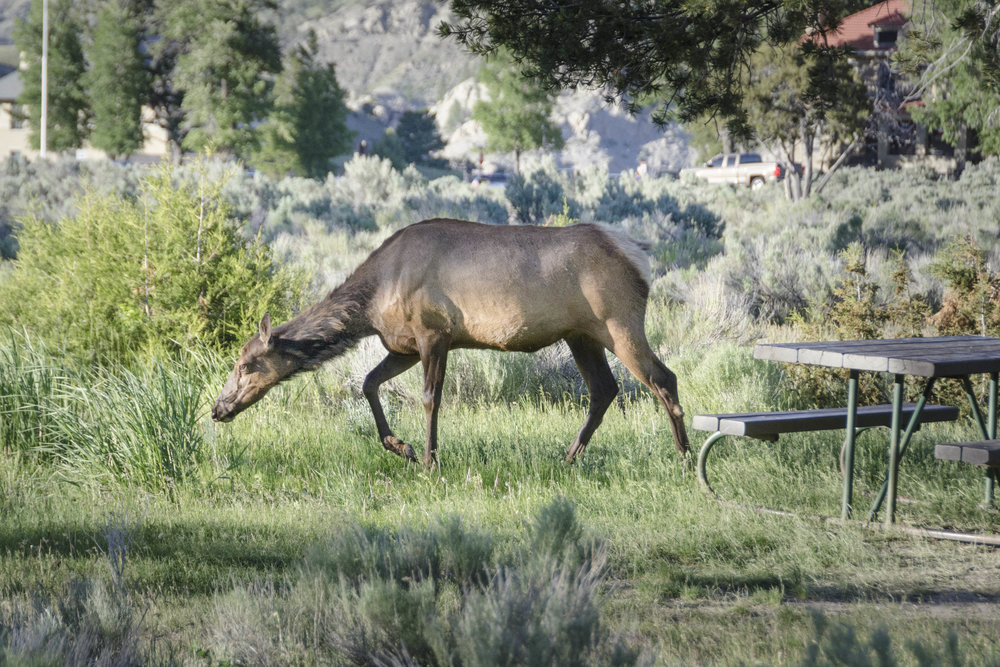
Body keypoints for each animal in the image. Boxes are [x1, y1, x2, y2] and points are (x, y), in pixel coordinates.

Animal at [213, 219, 688, 464]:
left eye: (244, 365)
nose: (218, 408)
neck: (371, 304)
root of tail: (640, 254)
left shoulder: (434, 333)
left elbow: (430, 399)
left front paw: (429, 459)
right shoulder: (401, 345)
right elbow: (368, 384)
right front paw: (400, 447)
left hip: (618, 322)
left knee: (663, 377)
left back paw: (683, 457)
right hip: (581, 335)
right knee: (604, 389)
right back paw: (568, 457)